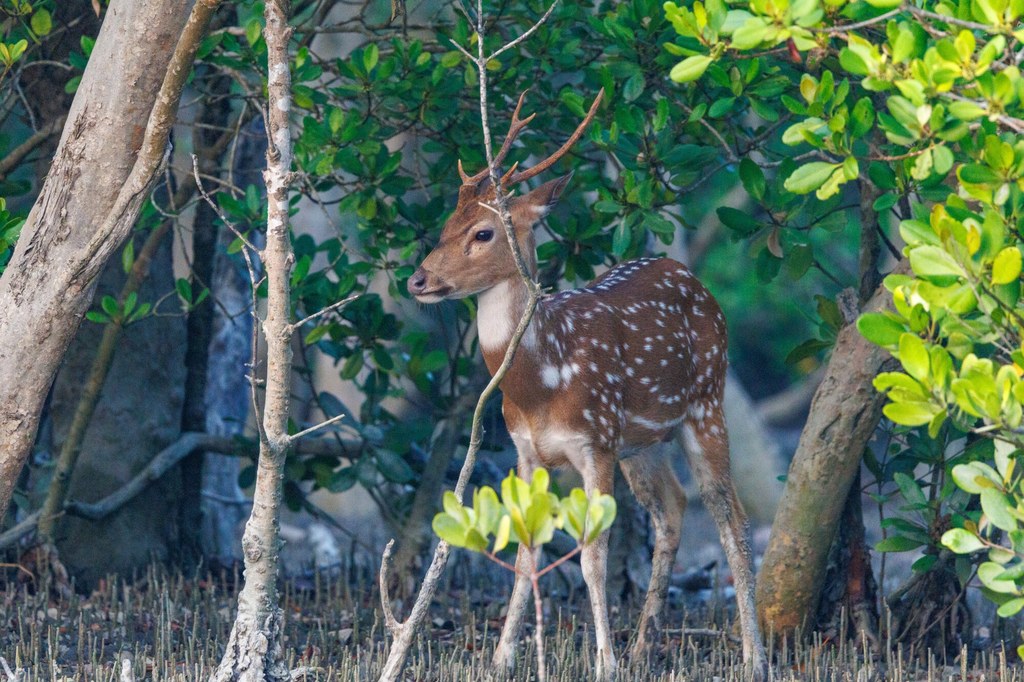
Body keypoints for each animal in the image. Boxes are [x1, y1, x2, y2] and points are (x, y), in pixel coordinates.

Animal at [407, 91, 770, 679]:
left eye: (483, 233)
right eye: (446, 224)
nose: (417, 280)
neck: (540, 383)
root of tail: (693, 278)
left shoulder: (594, 442)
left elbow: (593, 556)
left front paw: (605, 662)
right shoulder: (526, 450)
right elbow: (525, 552)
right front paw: (500, 660)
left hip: (706, 404)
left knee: (731, 519)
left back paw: (754, 656)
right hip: (640, 442)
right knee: (672, 508)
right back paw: (644, 647)